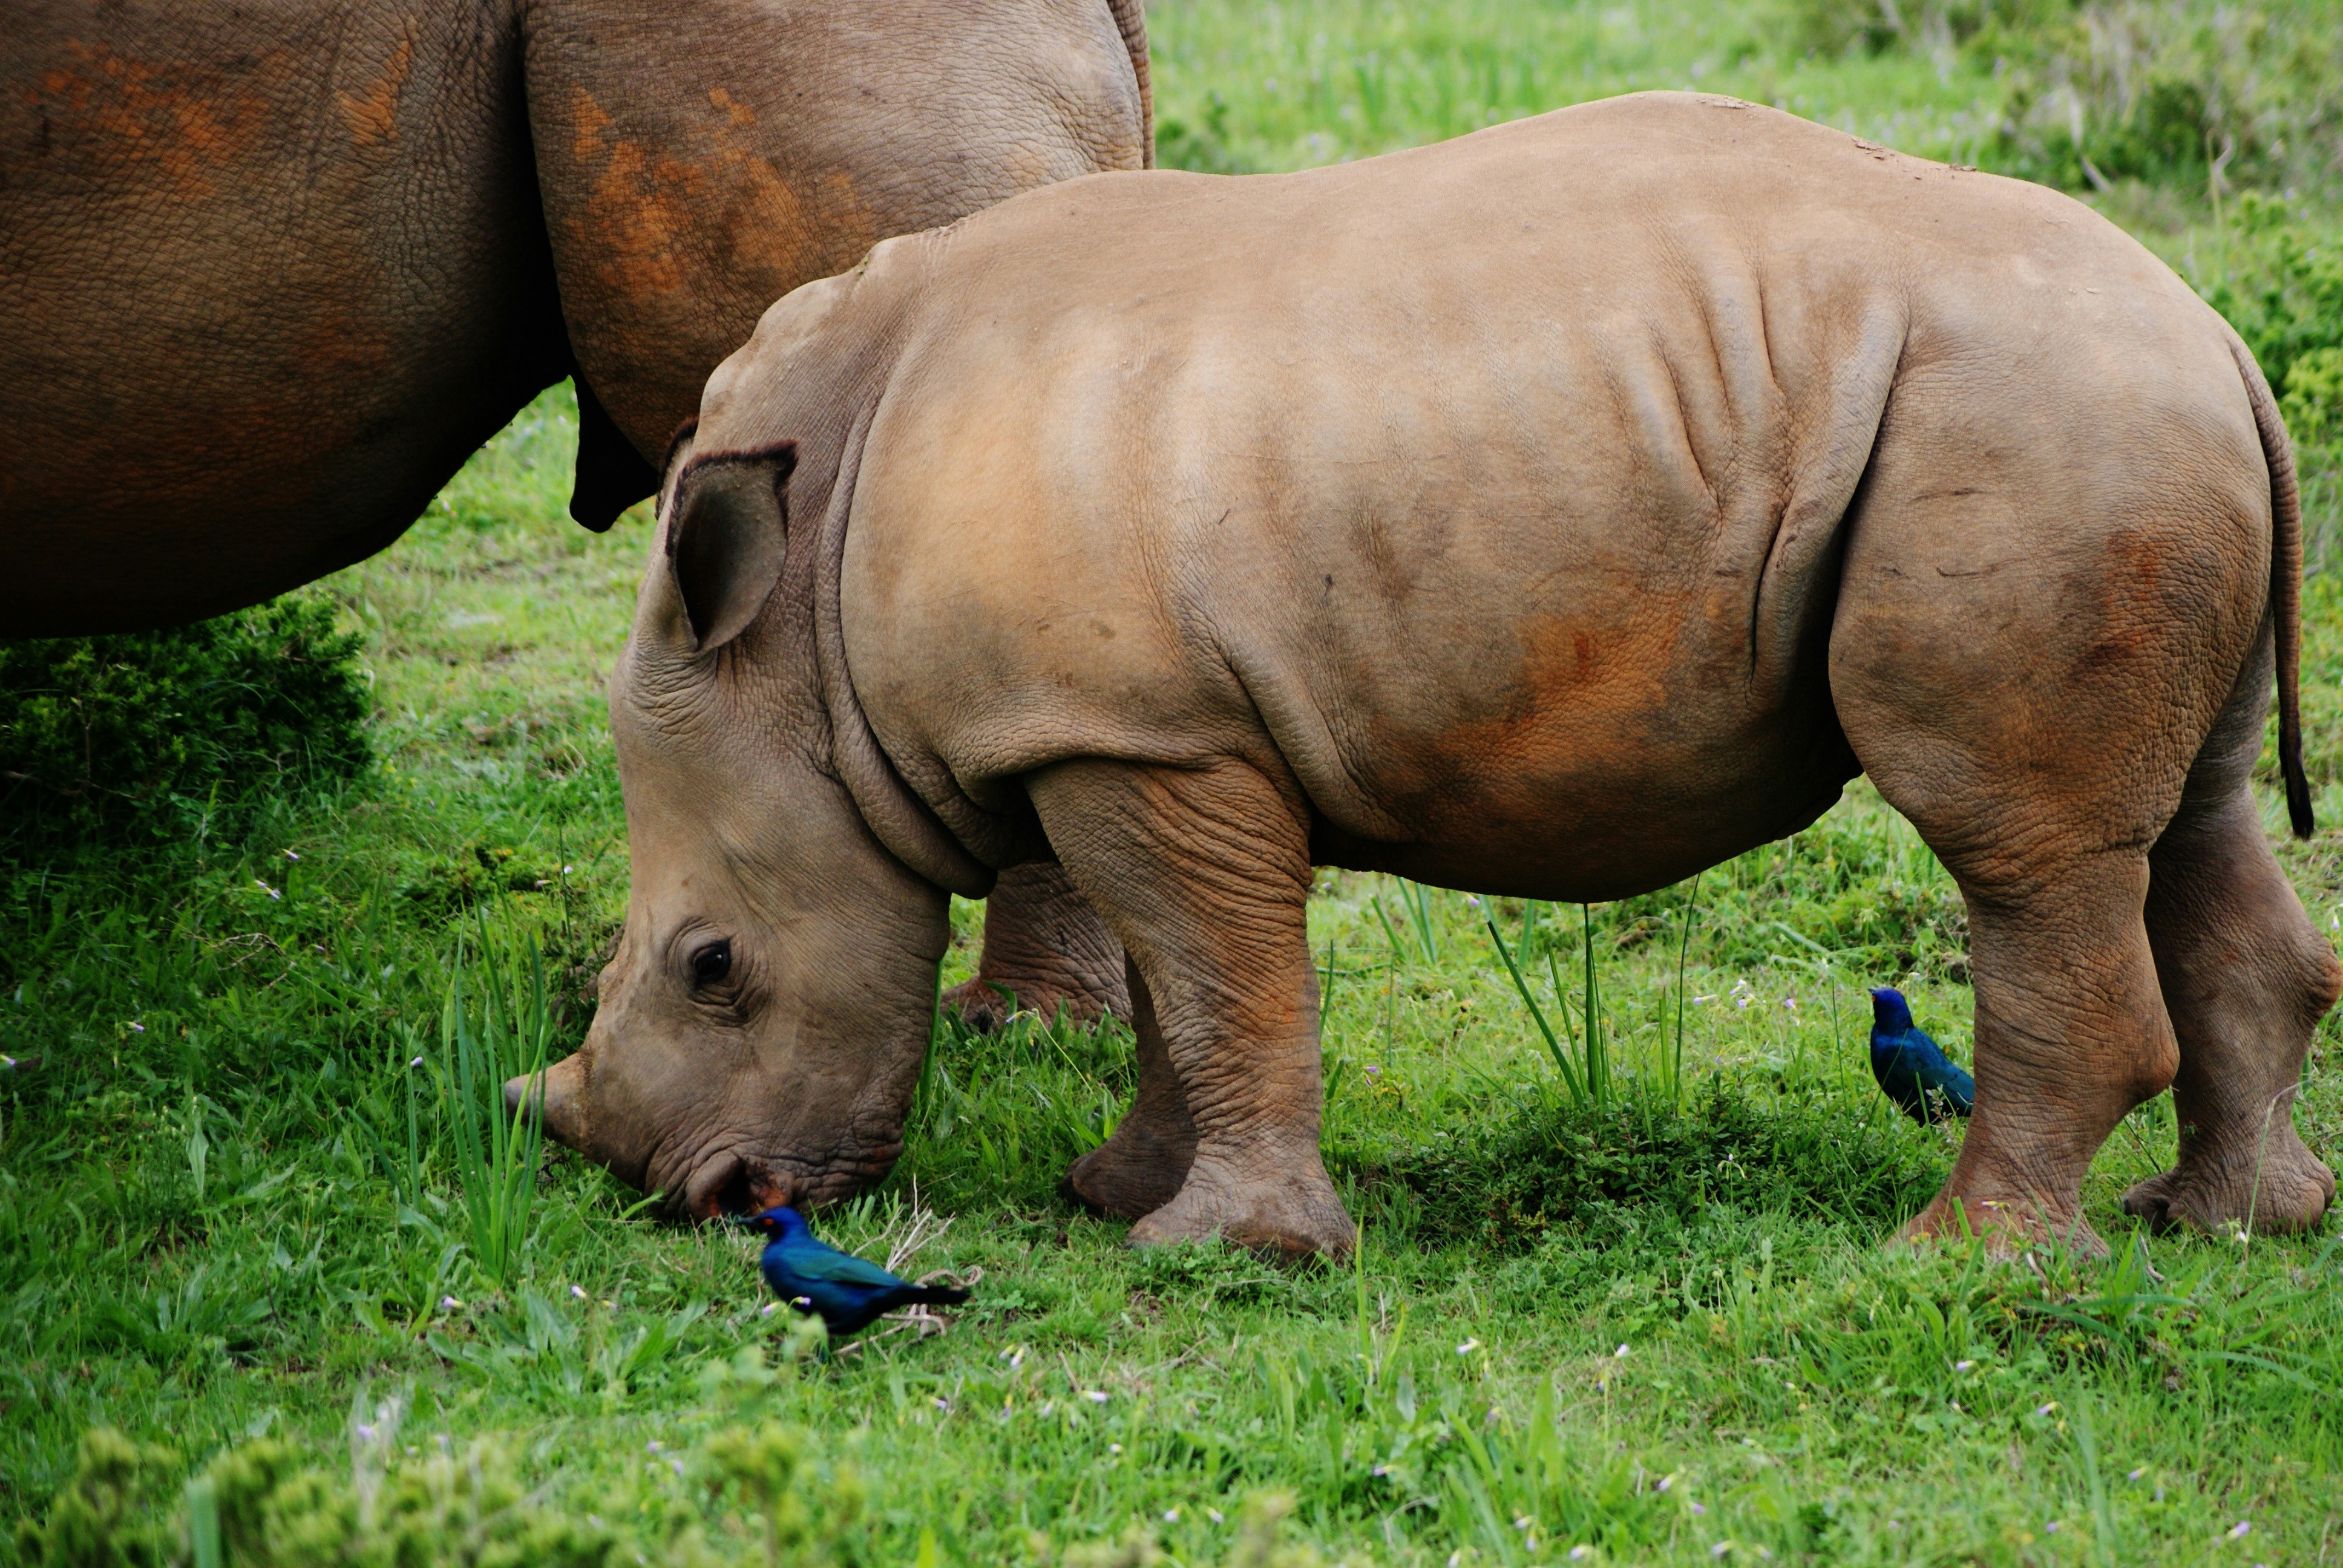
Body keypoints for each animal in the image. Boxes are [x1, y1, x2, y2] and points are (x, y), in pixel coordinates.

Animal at [531, 92, 2337, 1256]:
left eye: (711, 967)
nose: (692, 1198)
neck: (804, 645)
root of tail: (2219, 337)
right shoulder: (1125, 732)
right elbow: (1177, 982)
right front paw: (1117, 1199)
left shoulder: (1140, 735)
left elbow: (1217, 974)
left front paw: (1221, 1254)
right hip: (2119, 430)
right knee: (2190, 816)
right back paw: (2220, 1226)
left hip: (2036, 426)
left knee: (2021, 845)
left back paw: (1964, 1261)